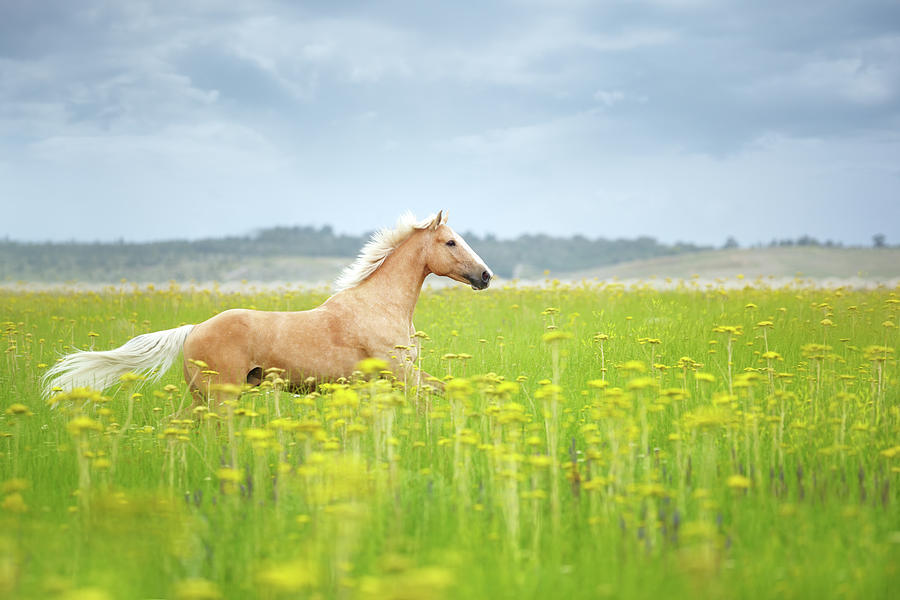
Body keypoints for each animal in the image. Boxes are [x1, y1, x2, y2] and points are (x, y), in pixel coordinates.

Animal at [42, 211, 493, 400]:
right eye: (450, 242)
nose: (485, 276)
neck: (379, 307)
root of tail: (192, 330)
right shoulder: (402, 375)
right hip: (221, 398)